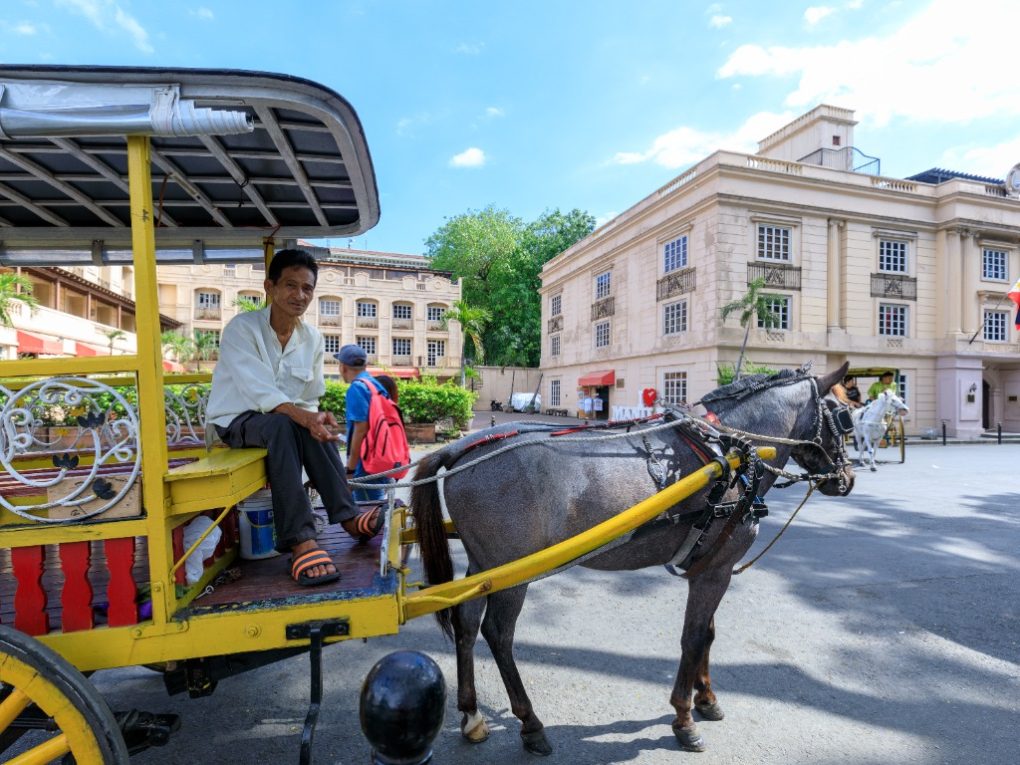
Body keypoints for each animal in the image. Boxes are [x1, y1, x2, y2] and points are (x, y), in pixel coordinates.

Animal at [410, 363, 856, 758]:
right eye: (845, 414)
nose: (847, 479)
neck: (728, 451)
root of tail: (459, 448)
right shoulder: (714, 572)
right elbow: (694, 637)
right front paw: (684, 719)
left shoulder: (712, 565)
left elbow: (708, 634)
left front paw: (707, 699)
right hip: (514, 570)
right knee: (499, 634)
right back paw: (530, 723)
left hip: (483, 564)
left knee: (467, 624)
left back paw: (472, 715)